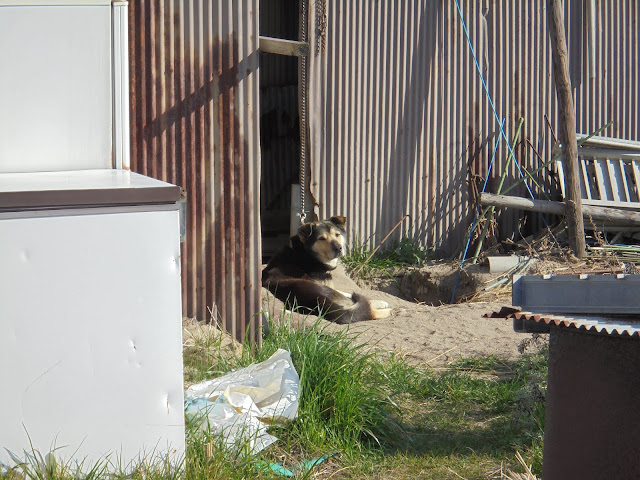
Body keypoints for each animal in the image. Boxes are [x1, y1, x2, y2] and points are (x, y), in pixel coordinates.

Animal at [260, 217, 390, 322]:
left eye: (337, 235)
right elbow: (349, 297)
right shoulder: (328, 285)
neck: (307, 254)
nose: (339, 248)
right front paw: (379, 303)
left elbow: (347, 293)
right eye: (321, 238)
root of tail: (319, 303)